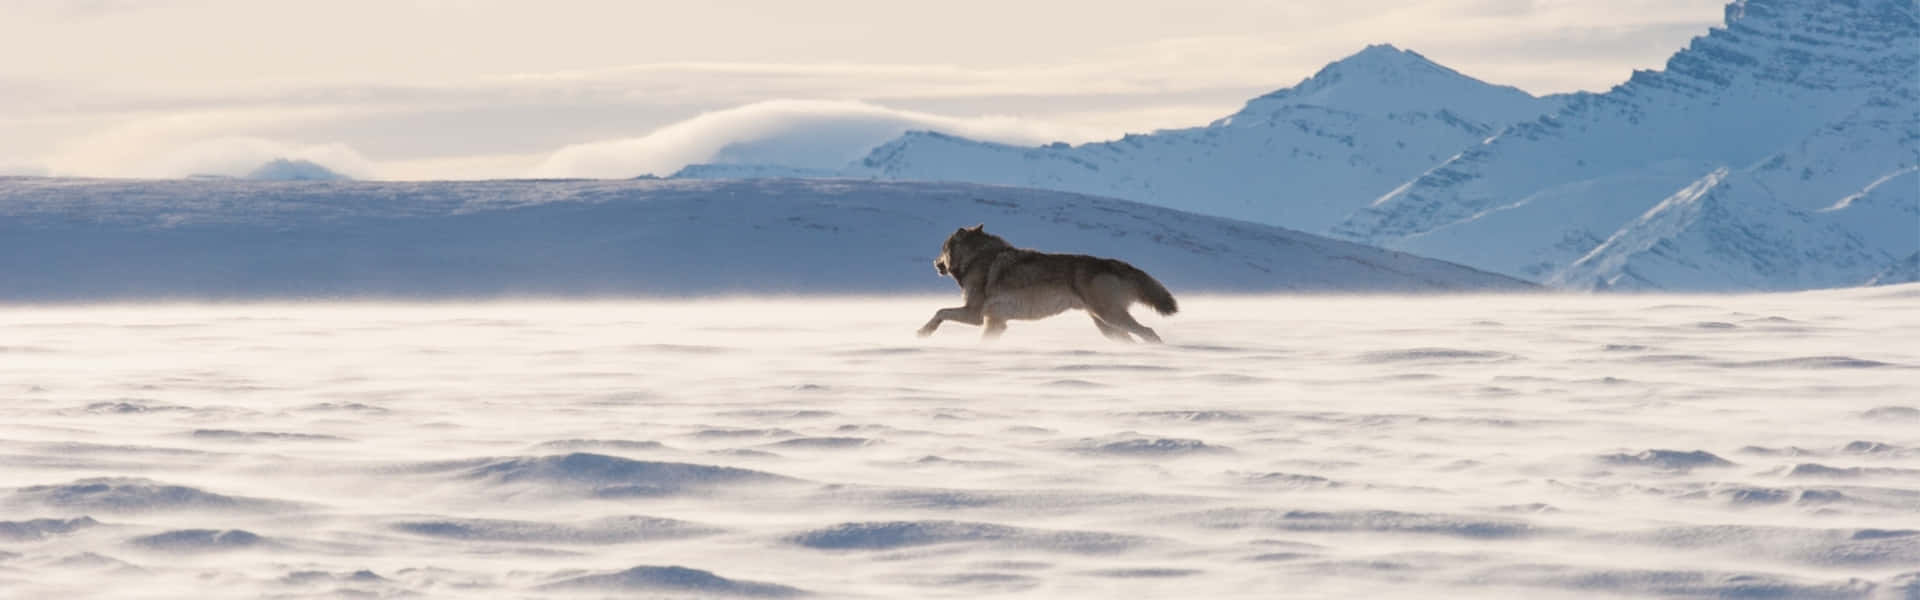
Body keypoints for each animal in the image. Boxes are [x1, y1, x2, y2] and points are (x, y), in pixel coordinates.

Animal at [913, 224, 1167, 342]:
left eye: (942, 249)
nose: (935, 263)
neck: (976, 258)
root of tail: (1114, 263)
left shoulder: (975, 314)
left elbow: (940, 311)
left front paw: (923, 332)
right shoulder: (995, 322)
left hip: (1111, 318)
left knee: (1149, 332)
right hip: (1106, 325)